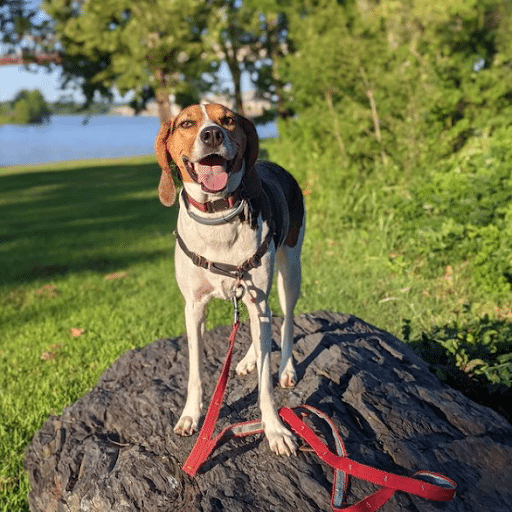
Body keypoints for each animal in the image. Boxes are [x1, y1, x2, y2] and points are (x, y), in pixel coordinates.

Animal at [155, 104, 304, 456]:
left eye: (229, 120)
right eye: (187, 122)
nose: (212, 134)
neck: (217, 215)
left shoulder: (257, 296)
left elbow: (265, 385)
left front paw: (274, 429)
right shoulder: (194, 308)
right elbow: (196, 371)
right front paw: (191, 415)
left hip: (289, 271)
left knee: (286, 320)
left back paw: (286, 368)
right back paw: (250, 358)